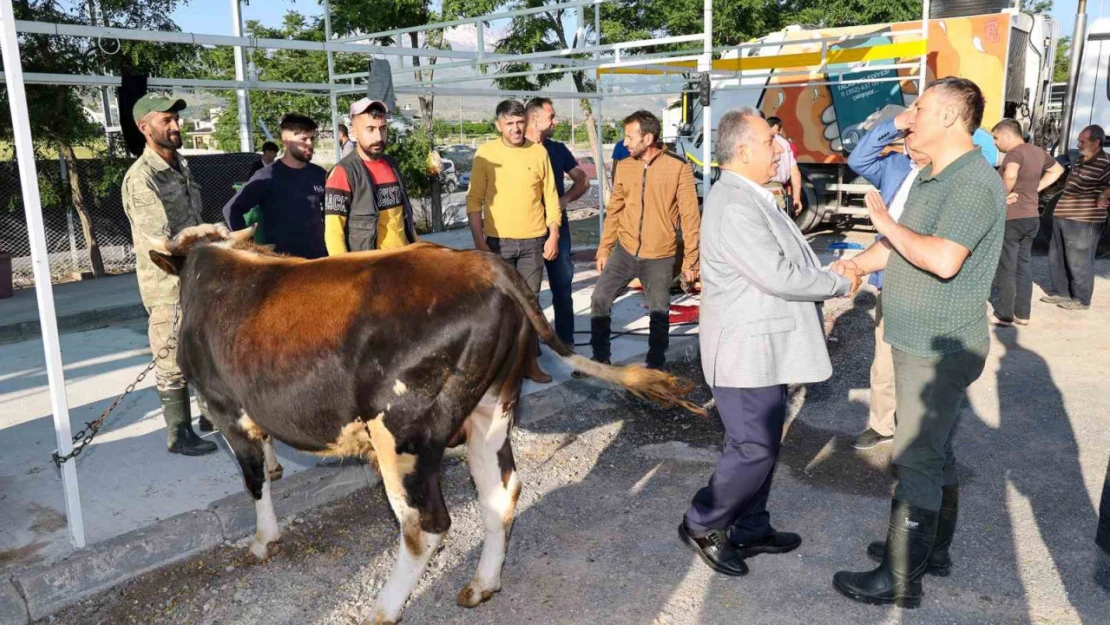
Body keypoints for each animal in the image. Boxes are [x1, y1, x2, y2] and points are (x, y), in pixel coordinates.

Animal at [147, 225, 701, 625]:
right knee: (501, 495)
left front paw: (263, 540)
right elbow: (265, 464)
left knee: (425, 525)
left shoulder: (224, 406)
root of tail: (483, 265)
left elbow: (253, 479)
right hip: (489, 412)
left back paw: (382, 609)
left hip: (402, 434)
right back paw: (482, 585)